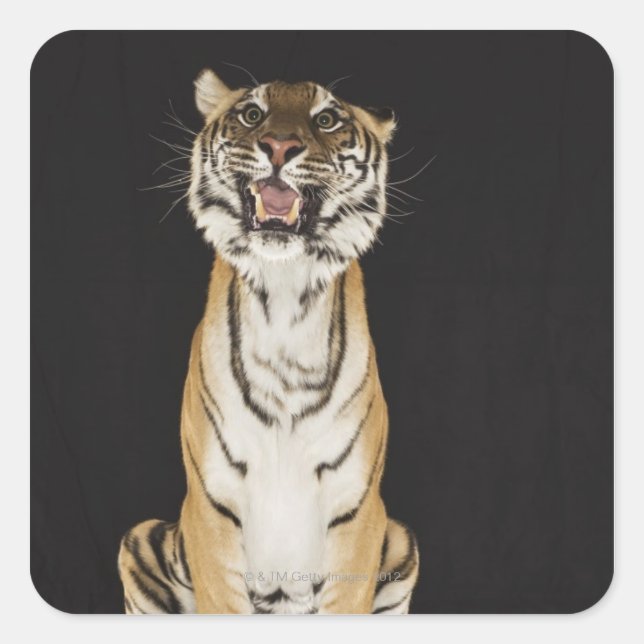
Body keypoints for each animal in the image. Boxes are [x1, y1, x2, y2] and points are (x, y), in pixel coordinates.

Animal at [118, 68, 419, 614]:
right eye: (252, 113)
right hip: (140, 537)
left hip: (402, 538)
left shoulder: (357, 504)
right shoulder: (212, 502)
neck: (285, 296)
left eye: (327, 119)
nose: (279, 145)